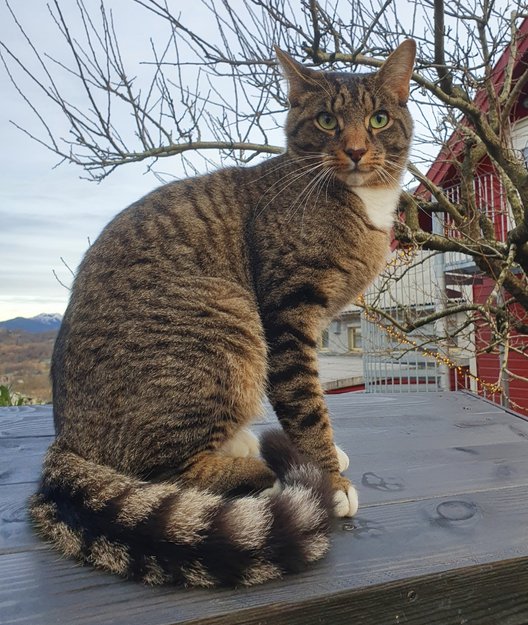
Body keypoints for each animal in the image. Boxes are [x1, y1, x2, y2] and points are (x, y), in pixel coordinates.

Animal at [30, 40, 415, 587]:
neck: (361, 202)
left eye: (379, 119)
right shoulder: (287, 315)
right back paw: (262, 469)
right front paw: (330, 476)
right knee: (168, 474)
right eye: (326, 121)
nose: (358, 150)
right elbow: (305, 403)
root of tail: (67, 438)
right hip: (224, 319)